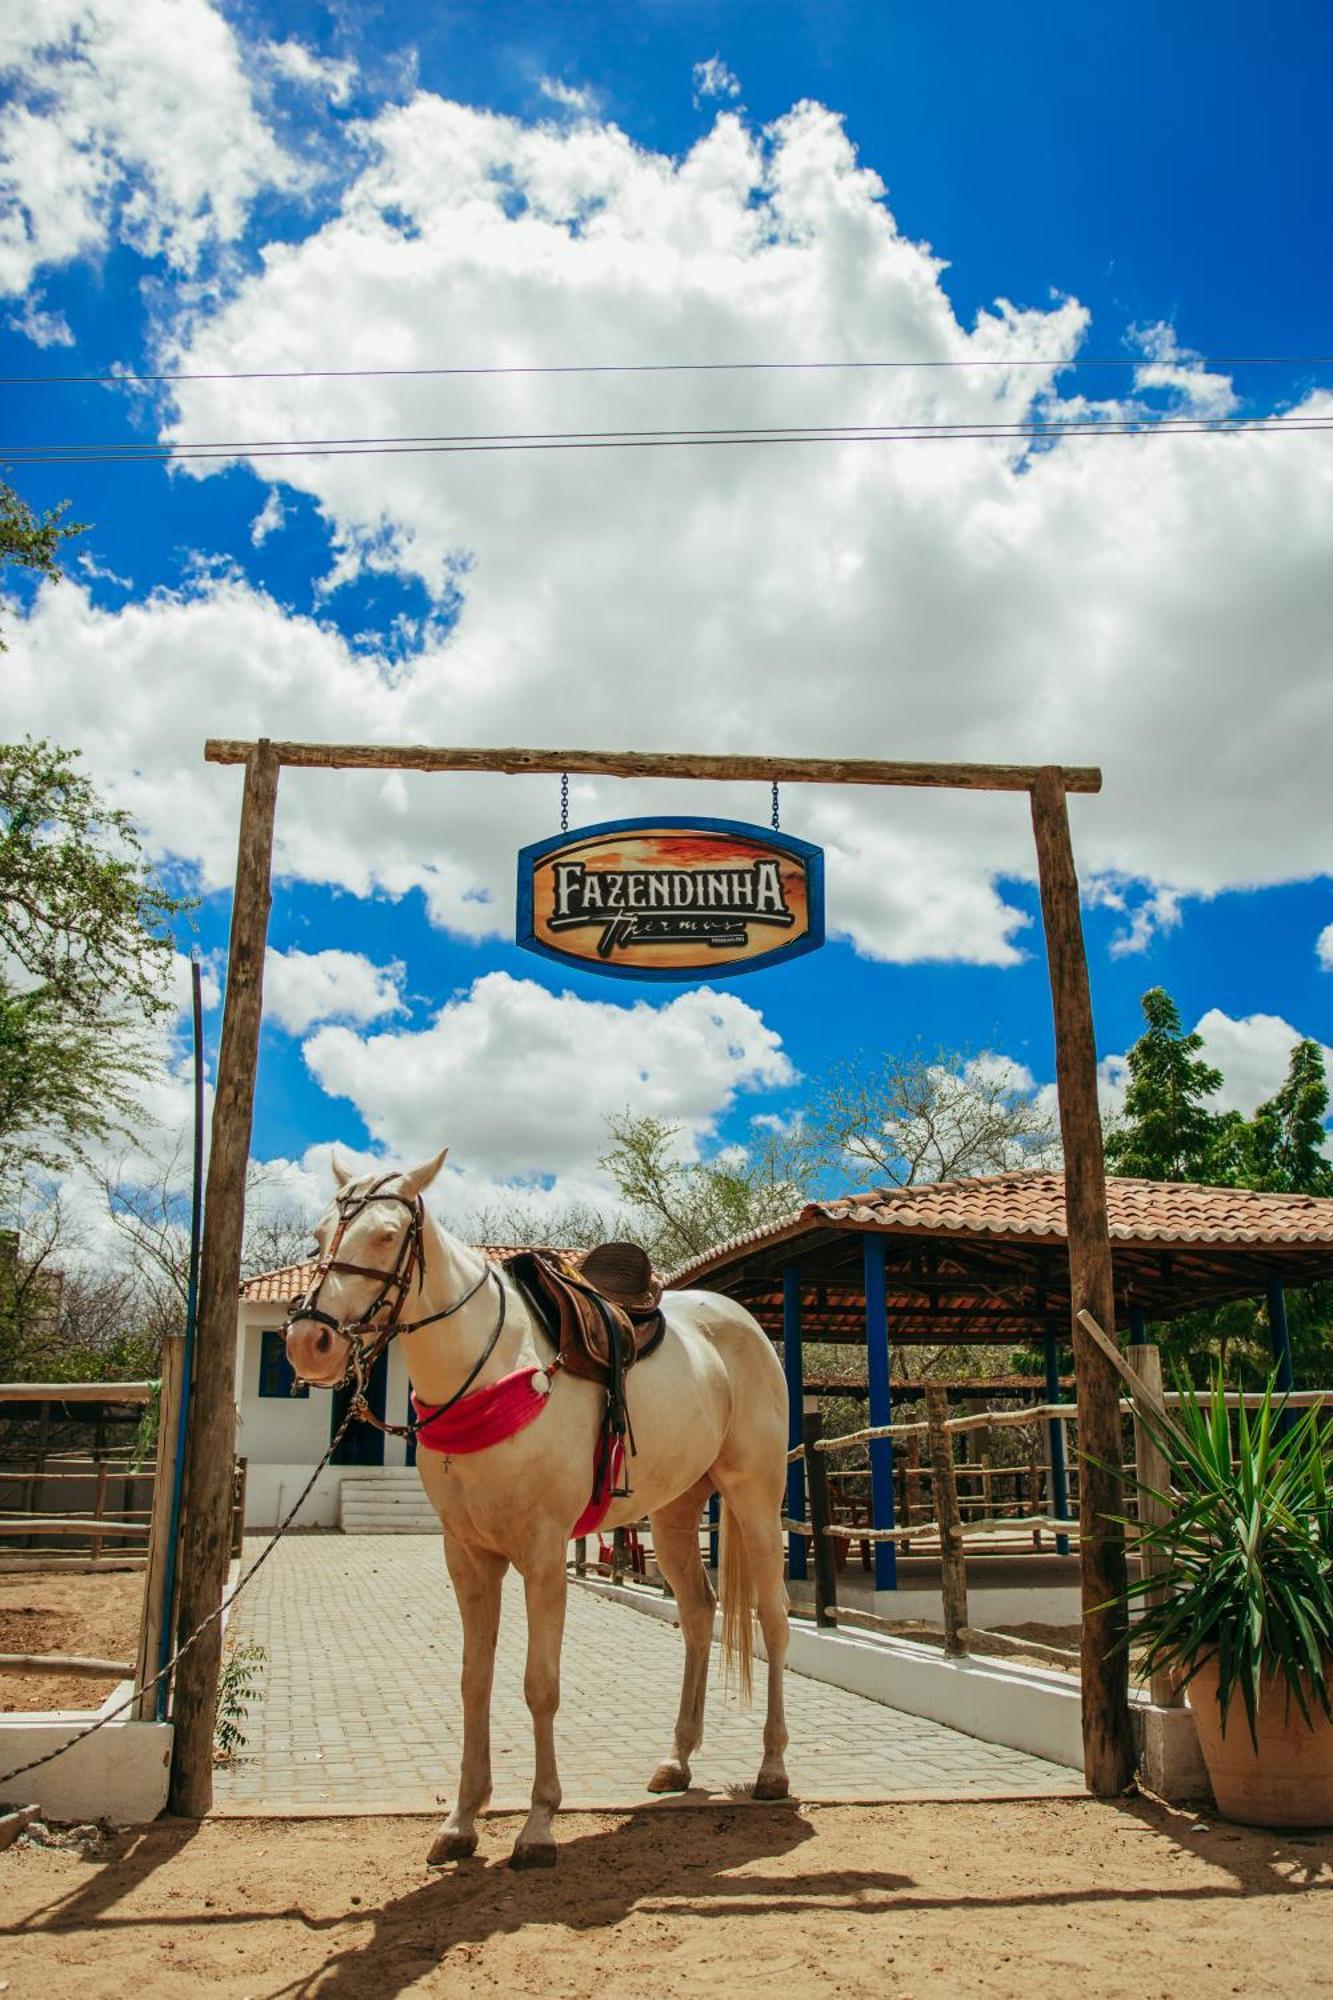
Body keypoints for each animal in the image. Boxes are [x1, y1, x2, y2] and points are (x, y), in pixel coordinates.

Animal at [286, 1152, 784, 1864]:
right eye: (320, 1234)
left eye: (385, 1236)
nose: (309, 1343)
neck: (492, 1369)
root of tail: (742, 1324)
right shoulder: (468, 1556)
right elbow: (474, 1680)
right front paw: (461, 1820)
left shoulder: (544, 1554)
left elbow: (538, 1684)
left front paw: (539, 1824)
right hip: (675, 1512)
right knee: (697, 1612)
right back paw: (678, 1759)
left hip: (755, 1496)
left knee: (774, 1618)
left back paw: (773, 1768)